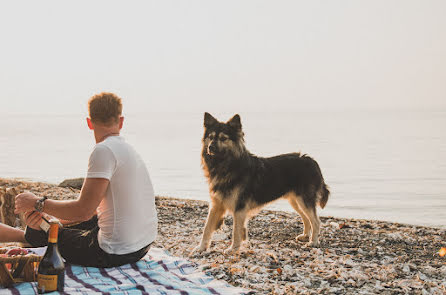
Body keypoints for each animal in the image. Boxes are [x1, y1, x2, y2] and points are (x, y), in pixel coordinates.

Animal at [191, 112, 328, 256]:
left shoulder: (239, 207)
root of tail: (311, 160)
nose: (210, 147)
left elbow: (235, 231)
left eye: (223, 138)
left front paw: (233, 248)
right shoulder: (216, 205)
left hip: (304, 200)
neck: (228, 166)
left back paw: (313, 241)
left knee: (316, 221)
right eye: (211, 137)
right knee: (306, 218)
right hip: (295, 201)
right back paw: (305, 236)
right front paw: (201, 248)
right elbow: (207, 228)